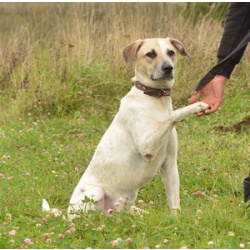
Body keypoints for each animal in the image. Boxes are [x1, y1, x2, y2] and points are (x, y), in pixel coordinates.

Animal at [66, 37, 209, 221]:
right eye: (151, 54)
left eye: (171, 52)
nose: (168, 68)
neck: (155, 99)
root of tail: (65, 214)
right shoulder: (147, 146)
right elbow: (172, 115)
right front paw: (196, 106)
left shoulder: (170, 163)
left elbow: (174, 201)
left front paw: (176, 220)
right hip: (96, 193)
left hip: (131, 194)